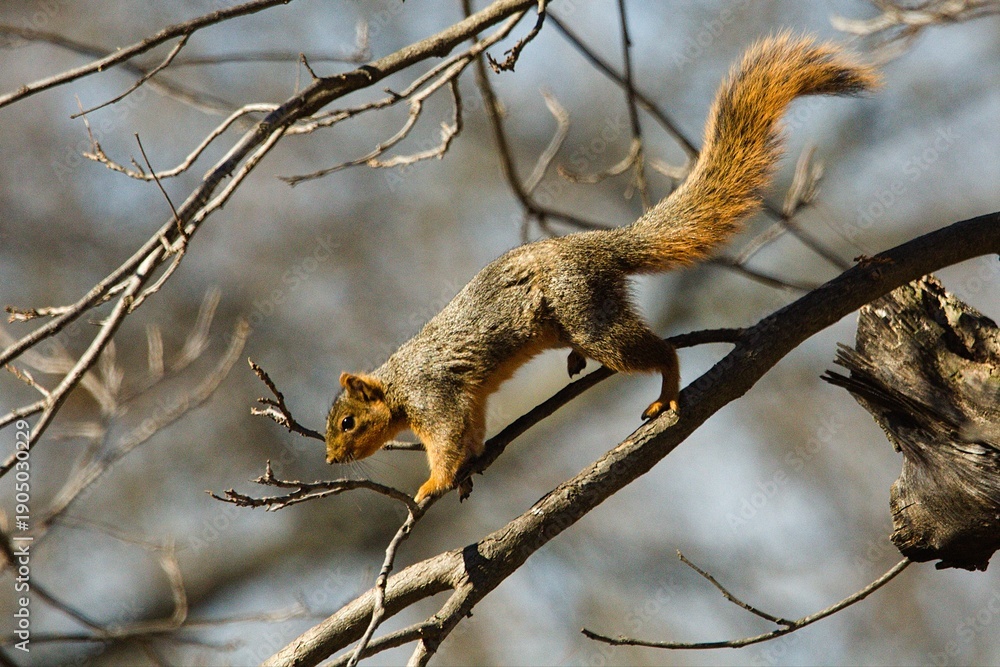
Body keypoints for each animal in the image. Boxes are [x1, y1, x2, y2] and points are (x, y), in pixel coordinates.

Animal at [325, 34, 879, 503]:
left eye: (348, 422)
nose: (331, 459)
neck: (397, 385)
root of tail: (600, 247)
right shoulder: (469, 400)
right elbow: (473, 429)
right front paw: (468, 470)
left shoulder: (434, 394)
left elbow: (448, 435)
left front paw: (433, 484)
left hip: (586, 311)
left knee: (655, 351)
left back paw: (666, 391)